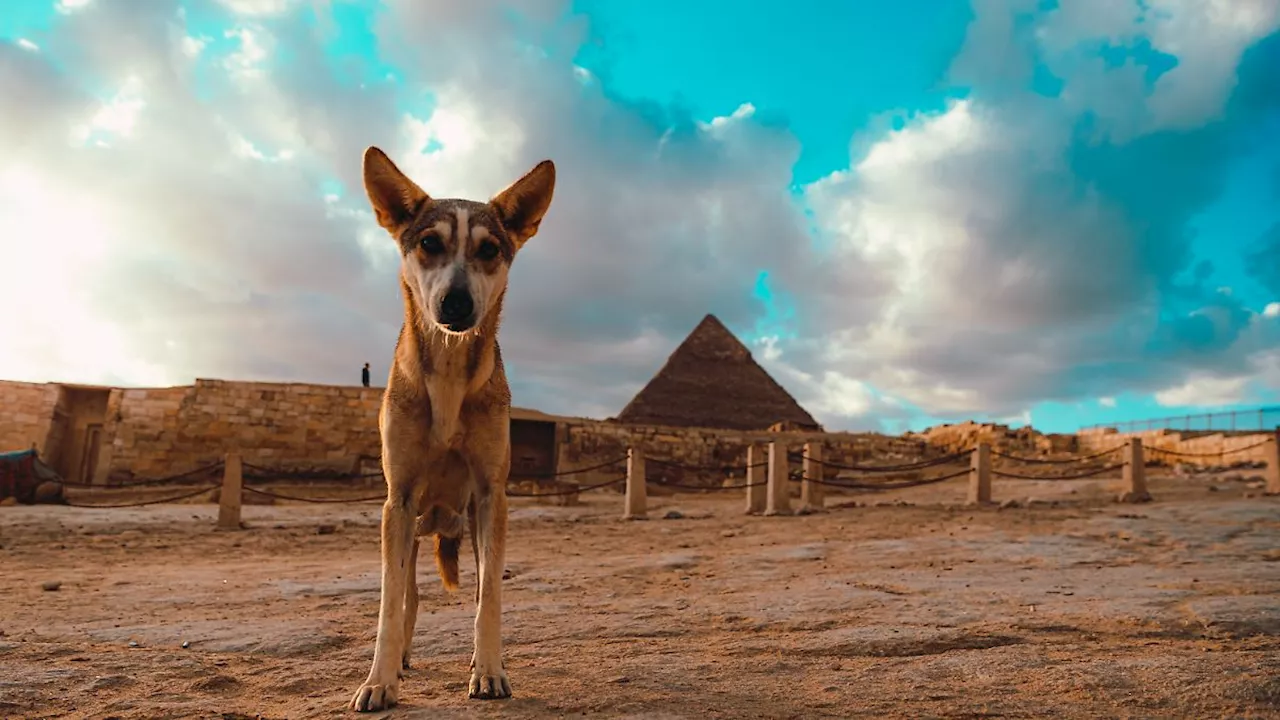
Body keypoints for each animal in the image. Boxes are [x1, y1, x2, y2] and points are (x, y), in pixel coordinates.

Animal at [350, 144, 555, 707]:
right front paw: (379, 681)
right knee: (410, 596)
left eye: (490, 249)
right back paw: (398, 662)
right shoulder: (397, 501)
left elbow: (489, 599)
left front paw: (488, 670)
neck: (447, 365)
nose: (457, 302)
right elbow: (390, 603)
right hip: (413, 526)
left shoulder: (491, 495)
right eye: (429, 243)